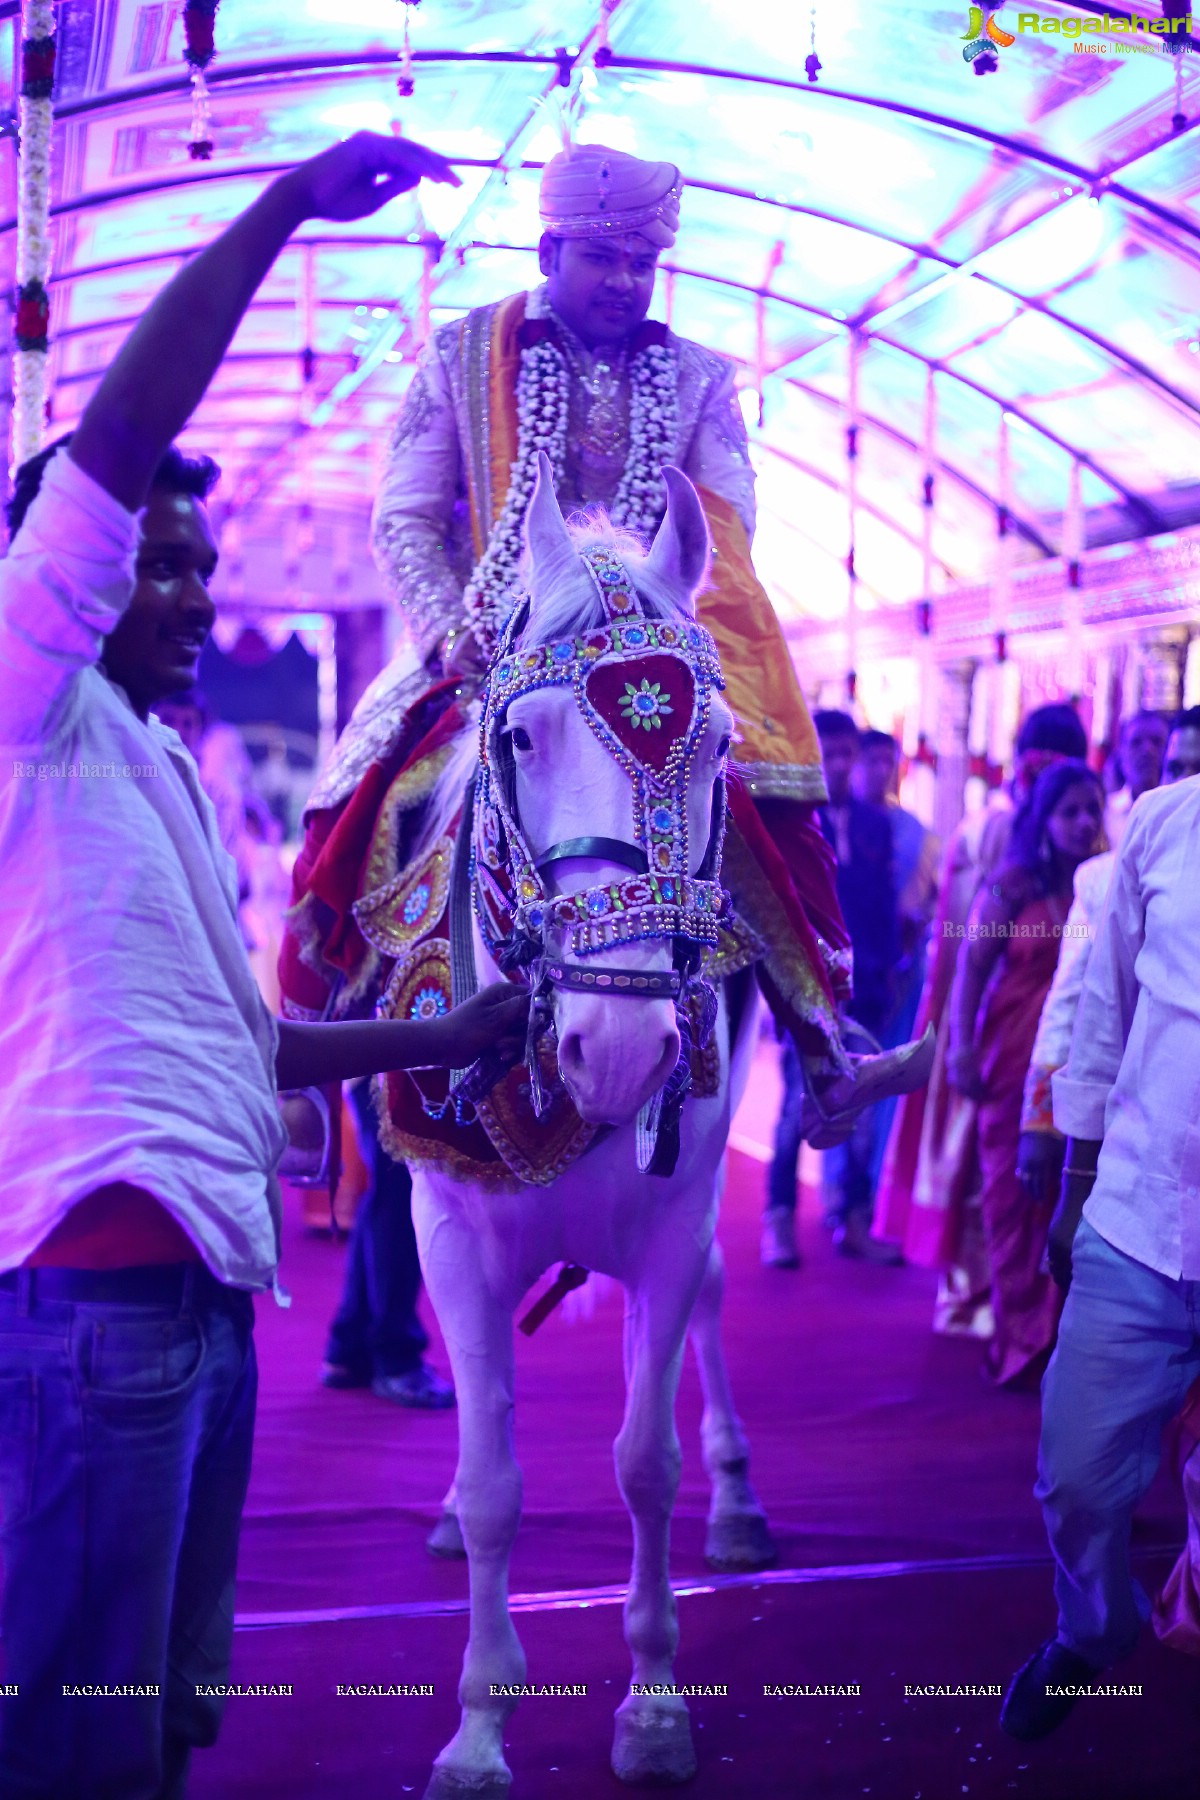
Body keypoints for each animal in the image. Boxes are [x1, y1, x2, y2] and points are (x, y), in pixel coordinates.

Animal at [408, 468, 770, 1800]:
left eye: (717, 747)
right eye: (521, 738)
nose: (619, 1047)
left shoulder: (672, 1222)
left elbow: (642, 1464)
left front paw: (655, 1709)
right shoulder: (455, 1234)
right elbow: (495, 1484)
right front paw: (477, 1731)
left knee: (714, 1306)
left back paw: (737, 1499)